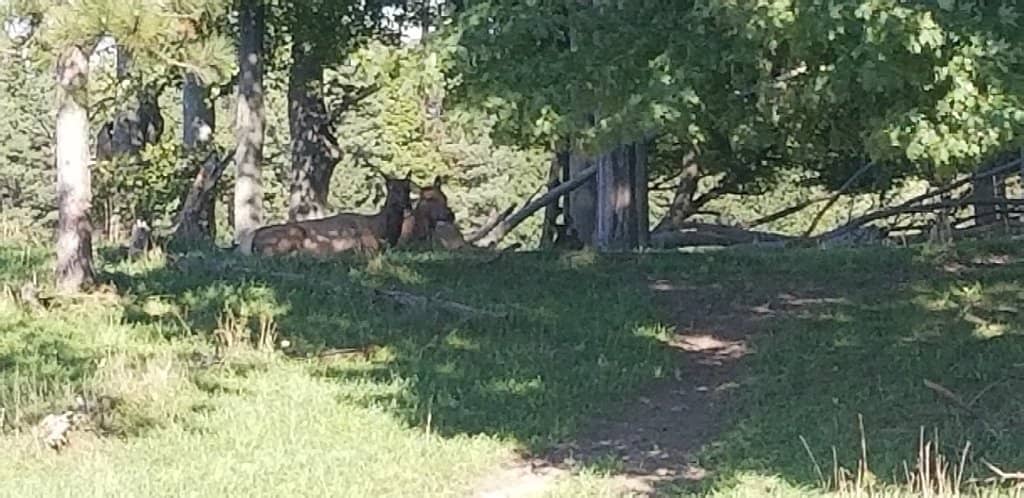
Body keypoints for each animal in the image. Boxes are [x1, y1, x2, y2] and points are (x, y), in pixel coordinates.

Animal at [237, 175, 413, 257]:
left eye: (408, 189)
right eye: (392, 189)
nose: (407, 206)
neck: (381, 230)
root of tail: (250, 240)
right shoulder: (369, 247)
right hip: (290, 235)